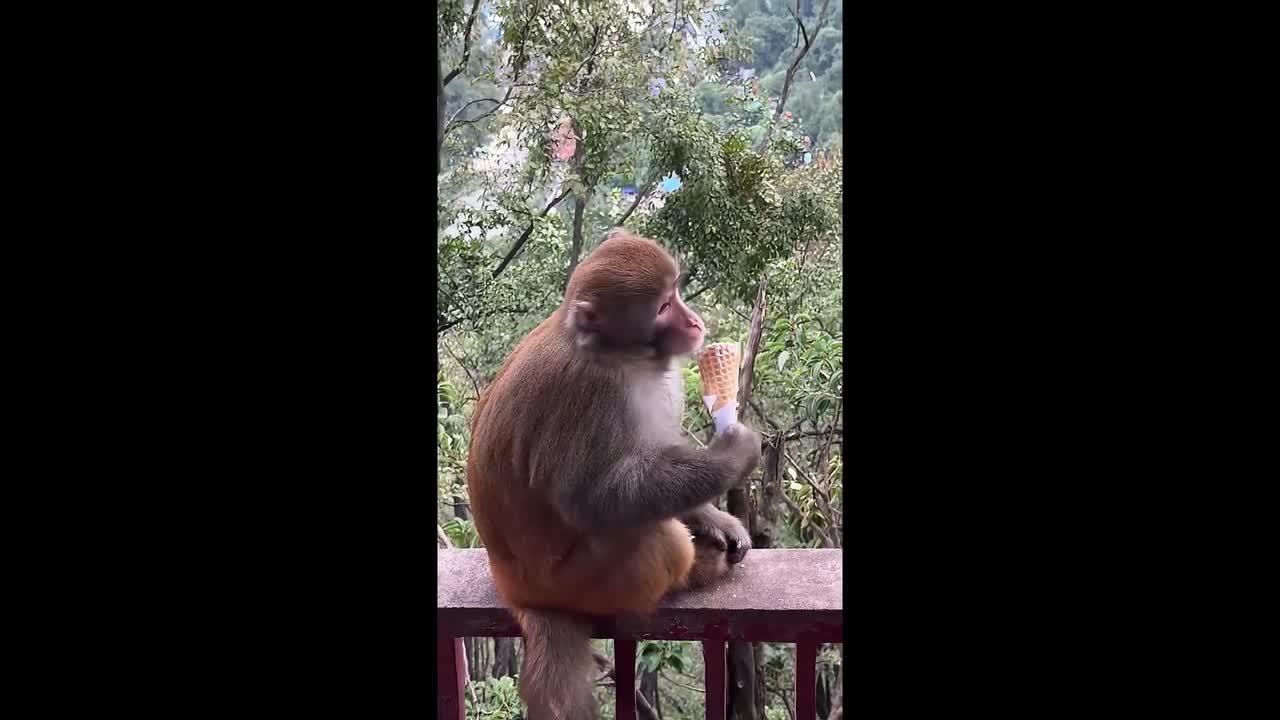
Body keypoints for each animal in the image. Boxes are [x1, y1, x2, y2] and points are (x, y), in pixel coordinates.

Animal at [465, 229, 762, 719]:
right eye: (663, 307)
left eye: (677, 291)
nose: (694, 321)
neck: (621, 355)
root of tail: (514, 589)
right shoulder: (592, 394)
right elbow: (594, 499)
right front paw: (732, 455)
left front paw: (715, 518)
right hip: (575, 582)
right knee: (657, 536)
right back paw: (695, 570)